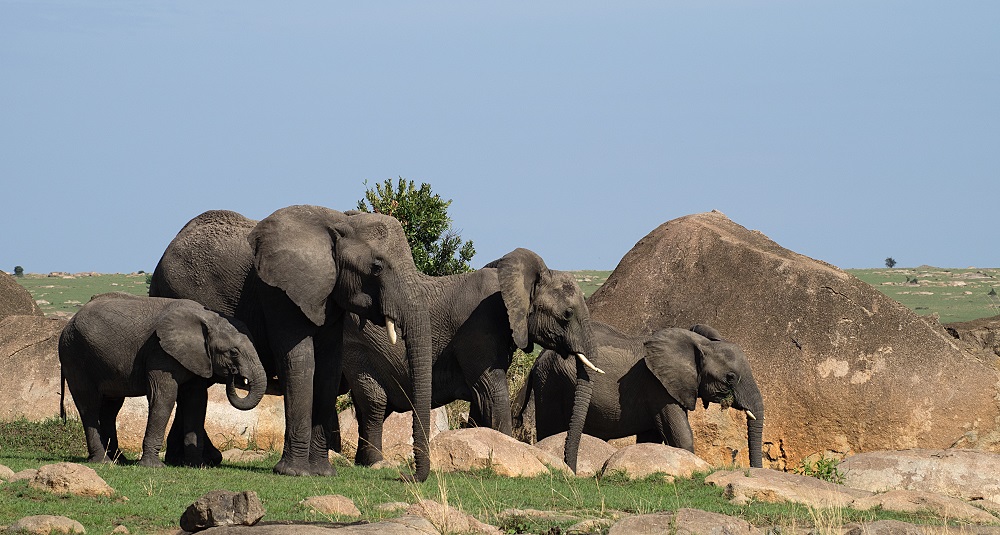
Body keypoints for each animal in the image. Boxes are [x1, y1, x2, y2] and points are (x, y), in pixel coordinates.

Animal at [58, 292, 266, 467]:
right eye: (233, 352)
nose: (235, 375)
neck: (207, 319)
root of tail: (69, 322)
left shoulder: (196, 358)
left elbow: (196, 402)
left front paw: (197, 465)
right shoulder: (159, 353)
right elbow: (164, 397)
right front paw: (152, 466)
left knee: (110, 407)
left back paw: (119, 460)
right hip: (74, 355)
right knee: (89, 405)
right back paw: (103, 461)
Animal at [149, 205, 433, 480]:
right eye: (377, 267)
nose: (406, 476)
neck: (340, 222)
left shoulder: (330, 296)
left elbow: (329, 367)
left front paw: (323, 473)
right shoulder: (280, 294)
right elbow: (301, 363)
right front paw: (294, 472)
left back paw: (188, 460)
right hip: (175, 293)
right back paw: (195, 461)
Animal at [342, 247, 601, 468]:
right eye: (567, 314)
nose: (570, 467)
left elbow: (481, 398)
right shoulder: (478, 328)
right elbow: (492, 392)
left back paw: (361, 462)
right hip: (360, 347)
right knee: (375, 403)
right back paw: (375, 463)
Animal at [515, 323, 764, 471]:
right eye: (730, 377)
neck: (700, 344)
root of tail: (537, 360)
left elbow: (651, 439)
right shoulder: (658, 387)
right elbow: (680, 436)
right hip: (551, 383)